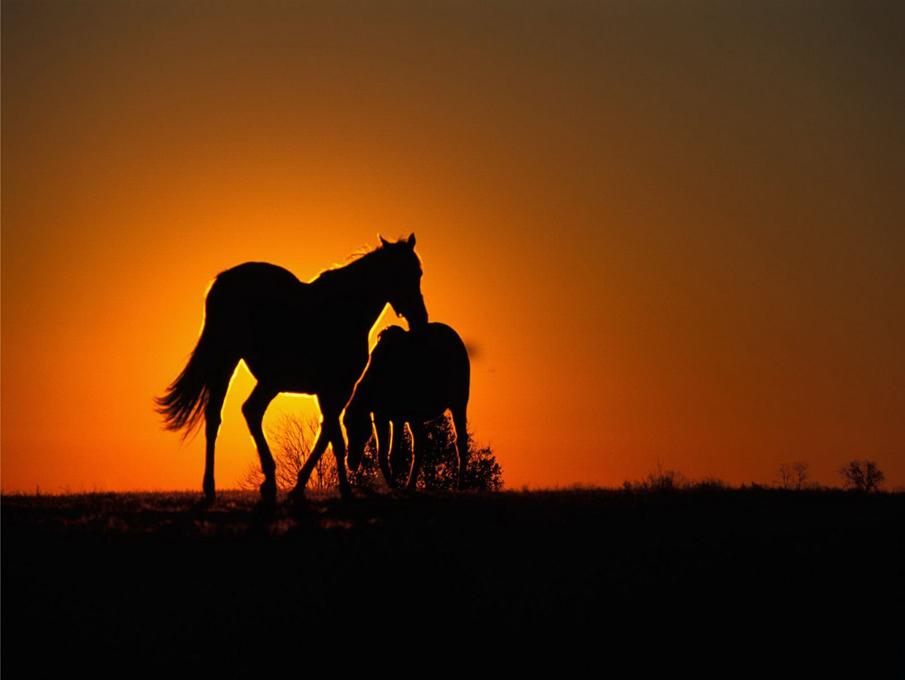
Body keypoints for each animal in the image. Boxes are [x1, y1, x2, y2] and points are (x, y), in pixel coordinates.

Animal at [155, 236, 428, 502]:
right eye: (403, 273)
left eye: (419, 273)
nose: (420, 319)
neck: (345, 312)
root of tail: (222, 281)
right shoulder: (337, 389)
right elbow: (335, 439)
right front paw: (343, 490)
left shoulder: (329, 392)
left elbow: (326, 435)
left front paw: (300, 486)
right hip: (233, 362)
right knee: (229, 414)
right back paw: (226, 485)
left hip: (263, 378)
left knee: (238, 413)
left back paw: (257, 483)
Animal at [342, 322, 470, 488]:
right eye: (346, 427)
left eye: (360, 428)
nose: (350, 462)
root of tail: (457, 339)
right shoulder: (381, 416)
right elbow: (382, 454)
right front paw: (392, 484)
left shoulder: (398, 417)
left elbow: (394, 454)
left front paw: (395, 484)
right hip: (416, 417)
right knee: (420, 445)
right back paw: (411, 485)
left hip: (458, 403)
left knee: (460, 441)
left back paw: (459, 484)